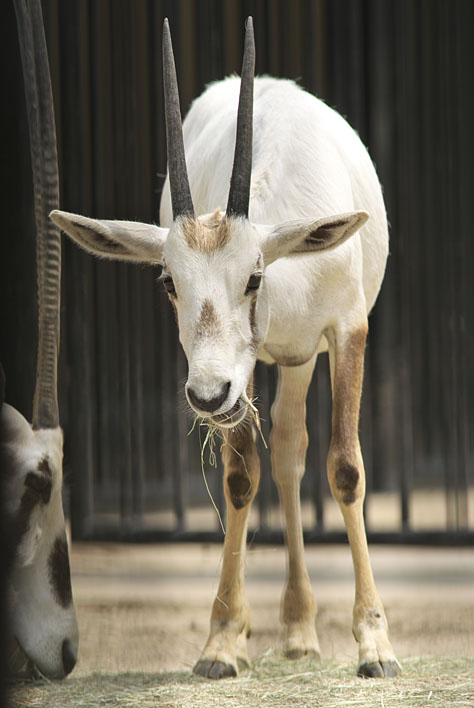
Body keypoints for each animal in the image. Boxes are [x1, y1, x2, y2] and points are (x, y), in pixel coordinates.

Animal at [51, 19, 400, 676]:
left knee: (294, 449)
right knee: (284, 454)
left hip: (299, 360)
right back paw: (297, 629)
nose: (209, 395)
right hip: (274, 365)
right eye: (168, 281)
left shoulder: (348, 332)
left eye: (254, 276)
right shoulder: (246, 373)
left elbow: (346, 469)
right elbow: (241, 478)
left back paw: (303, 631)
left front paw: (376, 645)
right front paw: (221, 642)